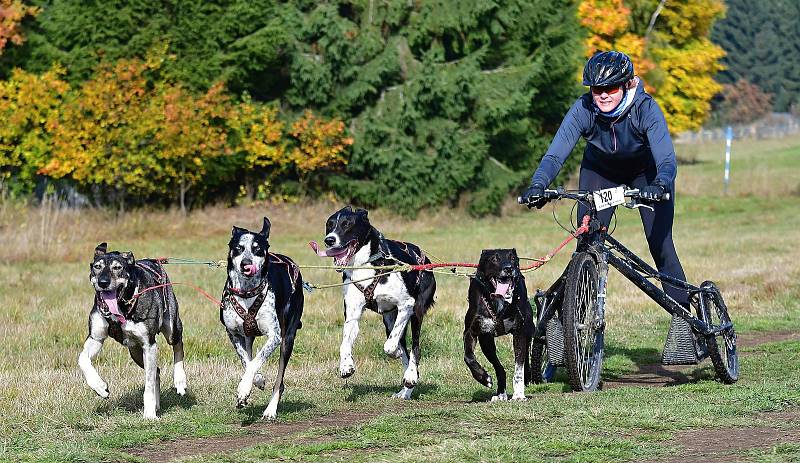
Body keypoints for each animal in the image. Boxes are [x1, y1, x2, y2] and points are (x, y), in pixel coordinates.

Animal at [78, 243, 188, 420]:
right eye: (97, 267)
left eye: (117, 268)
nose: (103, 282)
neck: (121, 309)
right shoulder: (96, 338)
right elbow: (82, 359)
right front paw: (99, 386)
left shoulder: (149, 345)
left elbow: (148, 385)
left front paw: (149, 415)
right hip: (135, 351)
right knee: (156, 371)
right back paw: (157, 405)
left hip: (171, 326)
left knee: (177, 345)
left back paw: (180, 380)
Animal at [219, 218, 304, 420]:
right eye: (239, 248)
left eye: (257, 249)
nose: (246, 263)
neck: (247, 292)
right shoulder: (234, 334)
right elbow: (247, 361)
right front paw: (254, 382)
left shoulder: (274, 336)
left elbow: (257, 360)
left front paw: (244, 388)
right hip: (249, 336)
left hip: (287, 339)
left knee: (280, 381)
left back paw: (270, 409)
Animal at [310, 207, 438, 398]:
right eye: (329, 225)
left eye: (347, 224)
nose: (329, 240)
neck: (365, 266)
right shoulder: (353, 315)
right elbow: (344, 344)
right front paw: (346, 366)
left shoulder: (406, 304)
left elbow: (389, 346)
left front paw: (396, 353)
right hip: (389, 319)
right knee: (404, 348)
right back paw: (405, 392)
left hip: (417, 311)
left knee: (414, 347)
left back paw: (410, 377)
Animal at [462, 250, 532, 402]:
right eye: (494, 259)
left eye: (513, 258)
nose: (508, 268)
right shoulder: (471, 332)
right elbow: (468, 357)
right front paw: (484, 378)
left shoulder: (520, 332)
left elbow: (519, 367)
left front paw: (518, 394)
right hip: (487, 343)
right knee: (499, 367)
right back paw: (500, 393)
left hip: (529, 329)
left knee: (525, 357)